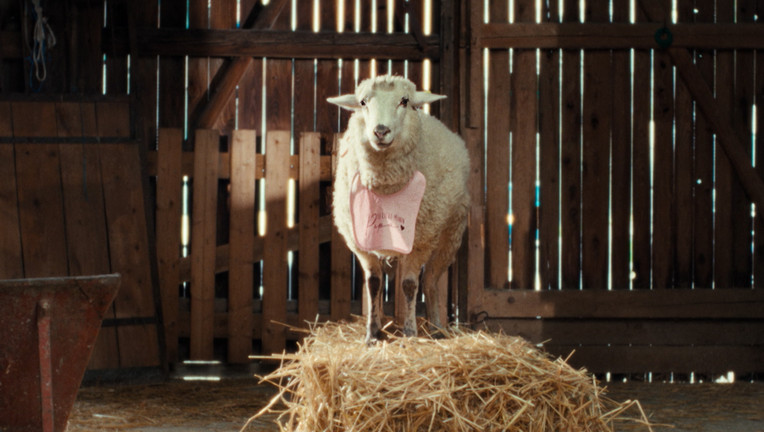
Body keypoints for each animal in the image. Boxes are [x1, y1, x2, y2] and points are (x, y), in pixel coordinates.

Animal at [328, 75, 470, 343]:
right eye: (363, 102)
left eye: (404, 101)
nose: (381, 131)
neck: (385, 187)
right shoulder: (360, 241)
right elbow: (373, 283)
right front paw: (372, 334)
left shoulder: (422, 239)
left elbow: (410, 285)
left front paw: (410, 333)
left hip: (450, 233)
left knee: (431, 281)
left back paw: (436, 327)